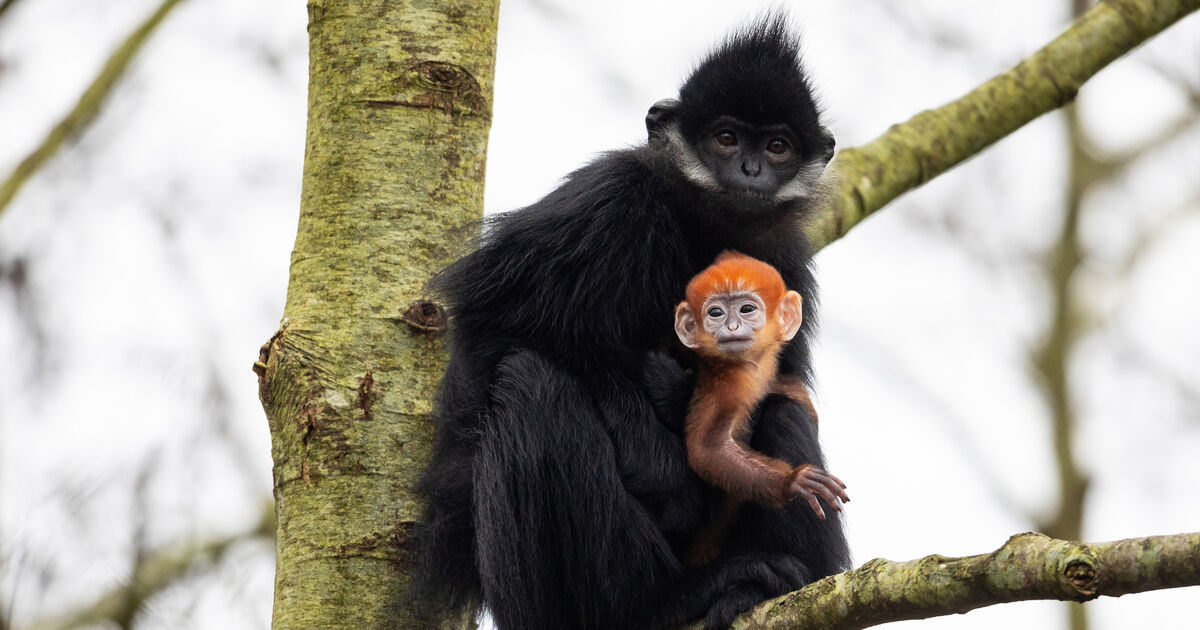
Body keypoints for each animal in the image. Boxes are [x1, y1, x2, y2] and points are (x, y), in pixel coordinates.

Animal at [673, 251, 849, 566]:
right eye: (715, 313)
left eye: (746, 309)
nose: (731, 328)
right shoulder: (731, 384)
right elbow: (709, 448)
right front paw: (792, 481)